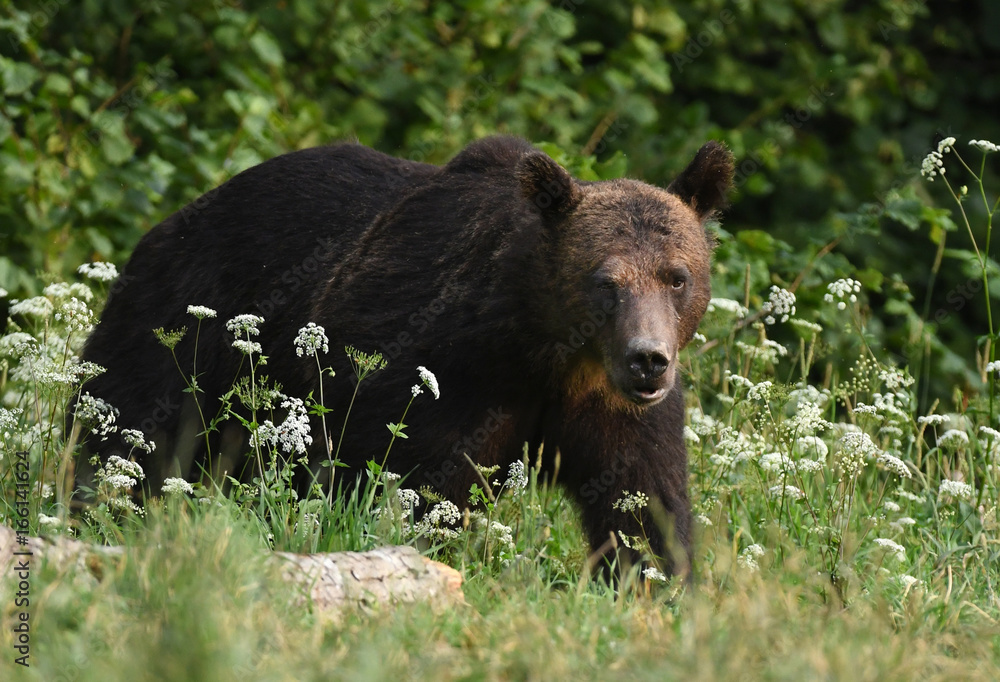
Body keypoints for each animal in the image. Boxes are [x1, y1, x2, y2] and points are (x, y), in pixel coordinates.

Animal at [76, 137, 736, 572]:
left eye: (677, 277)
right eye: (606, 282)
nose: (648, 359)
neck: (546, 351)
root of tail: (179, 216)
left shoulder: (613, 408)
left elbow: (642, 500)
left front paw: (653, 581)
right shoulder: (444, 364)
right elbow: (417, 478)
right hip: (184, 315)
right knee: (131, 417)